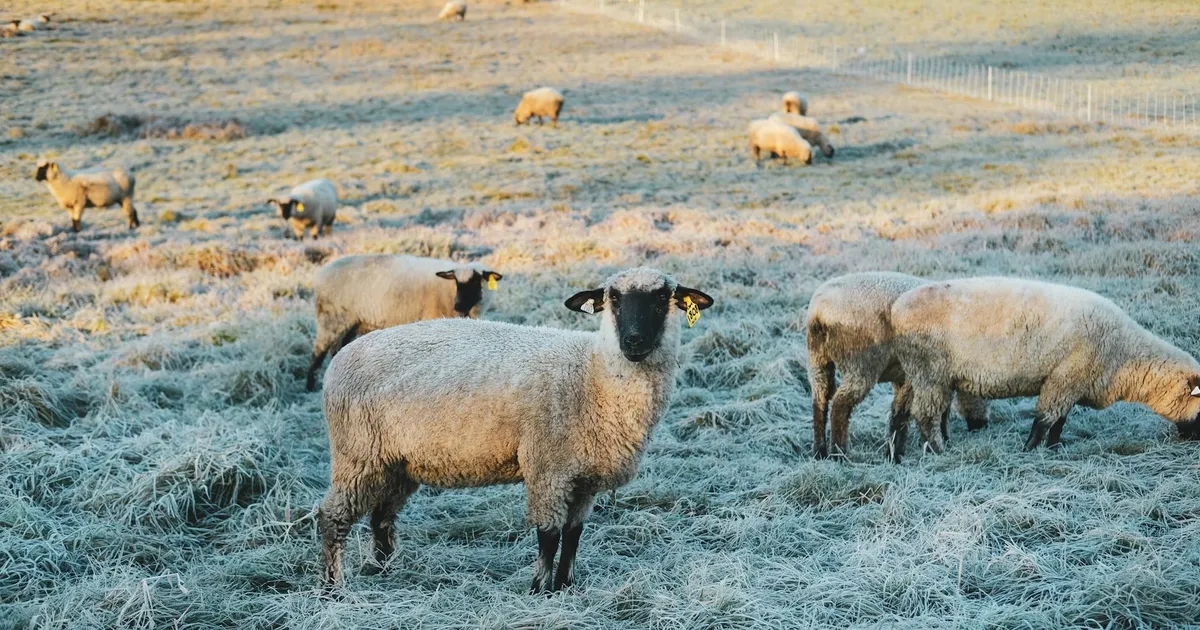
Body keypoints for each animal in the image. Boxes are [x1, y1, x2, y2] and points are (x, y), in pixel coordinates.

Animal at [305, 254, 504, 392]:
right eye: (456, 282)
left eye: (476, 281)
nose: (458, 305)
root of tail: (321, 273)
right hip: (330, 318)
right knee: (317, 353)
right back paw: (309, 386)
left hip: (349, 323)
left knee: (336, 349)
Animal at [316, 267, 714, 592]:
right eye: (613, 298)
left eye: (662, 298)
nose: (633, 341)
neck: (593, 377)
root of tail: (341, 358)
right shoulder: (547, 469)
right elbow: (549, 536)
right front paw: (539, 589)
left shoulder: (583, 479)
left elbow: (573, 535)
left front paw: (566, 586)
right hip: (356, 454)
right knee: (332, 518)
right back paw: (333, 587)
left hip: (396, 462)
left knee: (382, 518)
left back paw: (384, 570)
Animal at [807, 272, 989, 459]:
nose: (981, 425)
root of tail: (819, 312)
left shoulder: (906, 377)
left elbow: (902, 409)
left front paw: (896, 450)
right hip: (861, 364)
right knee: (840, 405)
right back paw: (840, 454)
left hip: (817, 360)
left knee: (820, 401)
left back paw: (819, 452)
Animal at [889, 277, 1200, 462]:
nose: (1195, 442)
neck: (1122, 355)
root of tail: (897, 308)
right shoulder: (1065, 377)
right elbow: (1046, 419)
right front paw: (1030, 450)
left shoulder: (1071, 383)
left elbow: (1059, 420)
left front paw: (1053, 447)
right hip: (930, 372)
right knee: (925, 415)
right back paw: (939, 450)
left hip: (915, 375)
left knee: (899, 412)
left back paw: (897, 453)